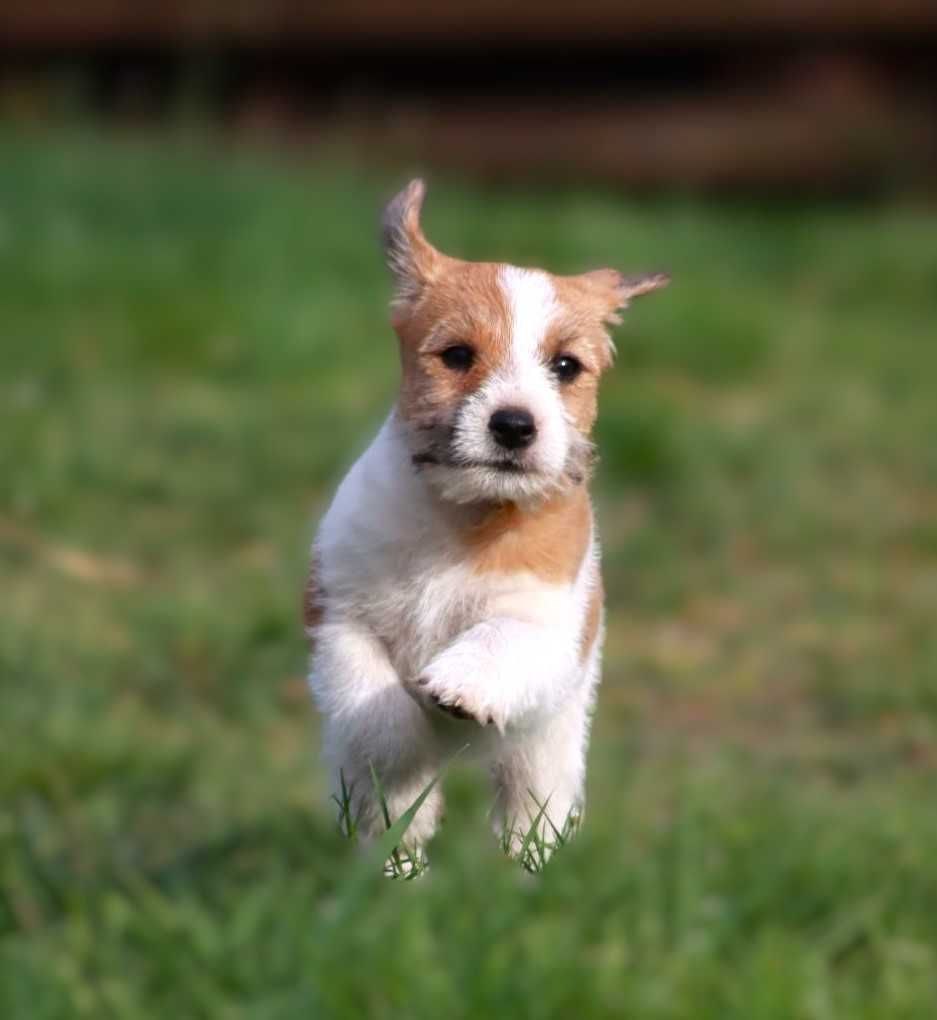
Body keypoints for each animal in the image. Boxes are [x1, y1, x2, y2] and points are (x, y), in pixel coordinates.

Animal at [305, 179, 668, 864]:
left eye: (565, 367)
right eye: (456, 355)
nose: (515, 425)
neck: (463, 516)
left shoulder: (546, 625)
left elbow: (499, 637)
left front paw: (458, 689)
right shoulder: (338, 615)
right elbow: (375, 702)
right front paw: (403, 770)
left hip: (545, 755)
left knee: (531, 809)